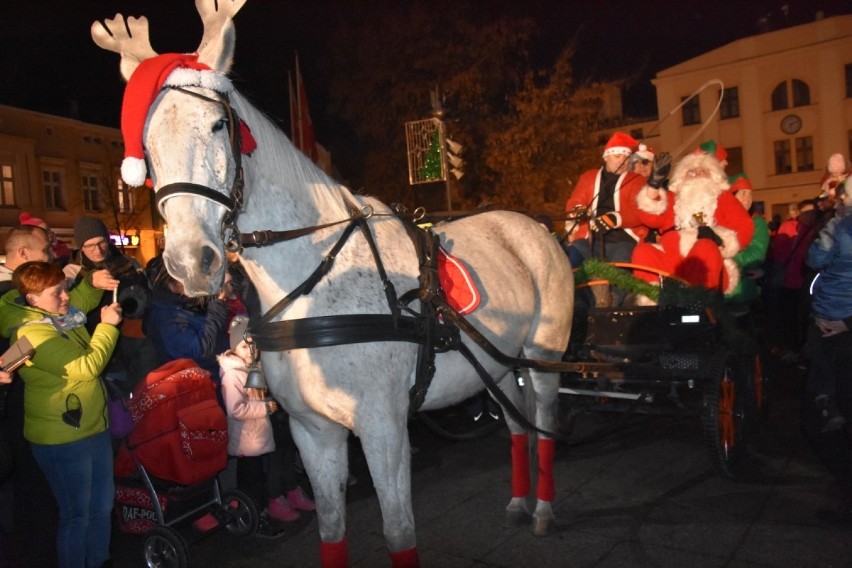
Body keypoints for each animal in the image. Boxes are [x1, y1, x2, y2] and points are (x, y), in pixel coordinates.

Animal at [93, 2, 572, 564]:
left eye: (217, 124)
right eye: (145, 147)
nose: (192, 261)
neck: (313, 286)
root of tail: (535, 227)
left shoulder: (383, 426)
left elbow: (398, 532)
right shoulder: (312, 430)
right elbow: (331, 529)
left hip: (542, 357)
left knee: (543, 426)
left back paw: (543, 510)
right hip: (498, 366)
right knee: (518, 425)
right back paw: (519, 501)